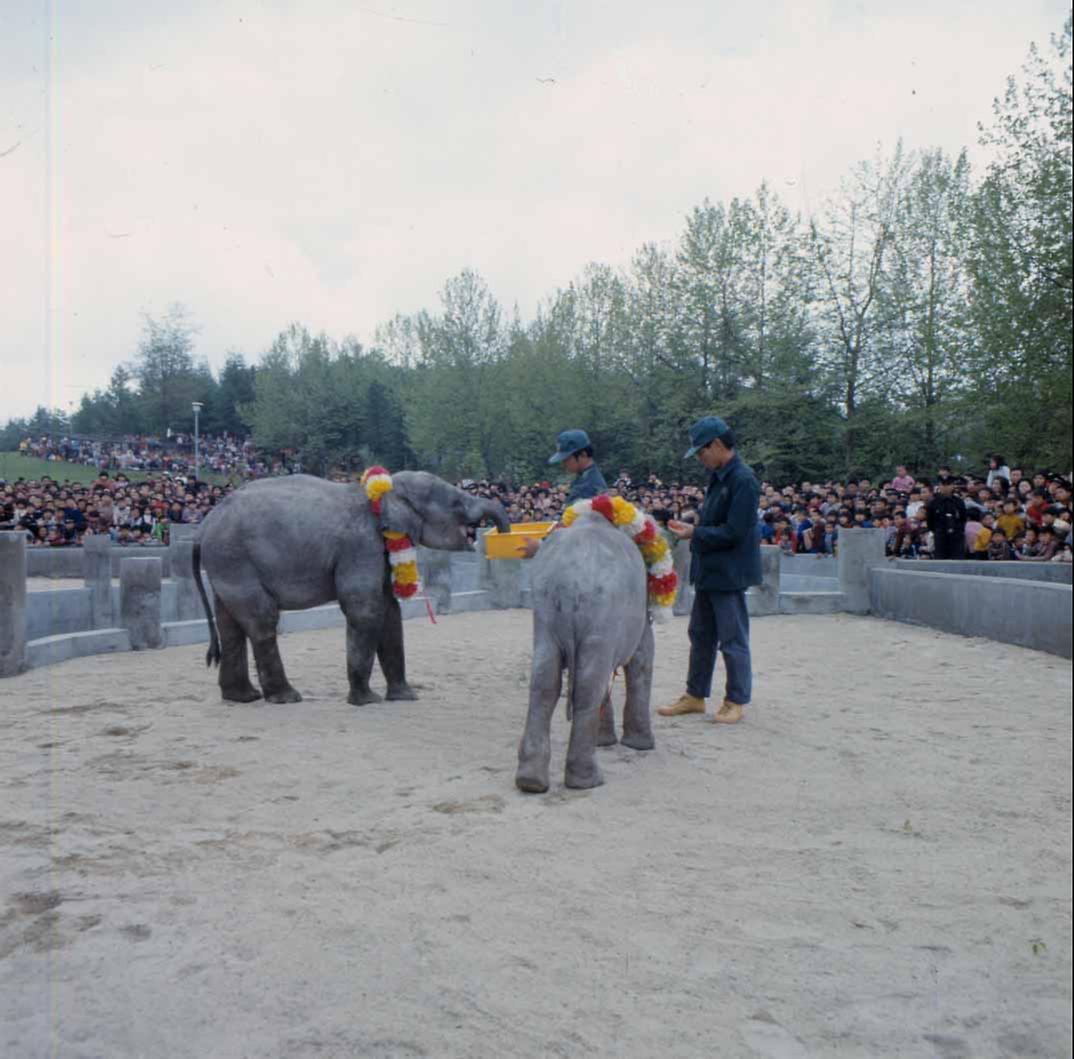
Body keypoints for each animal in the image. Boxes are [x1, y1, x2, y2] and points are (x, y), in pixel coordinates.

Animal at [194, 470, 511, 700]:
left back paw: (243, 697)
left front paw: (405, 697)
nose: (502, 534)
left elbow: (390, 611)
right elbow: (365, 608)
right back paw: (286, 697)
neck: (384, 492)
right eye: (457, 504)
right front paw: (366, 700)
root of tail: (203, 527)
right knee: (262, 620)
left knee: (230, 625)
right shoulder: (361, 545)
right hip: (235, 560)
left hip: (226, 565)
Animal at [513, 506, 652, 790]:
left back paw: (531, 781)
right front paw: (639, 746)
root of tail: (570, 585)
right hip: (602, 613)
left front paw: (606, 742)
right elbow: (641, 659)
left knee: (544, 681)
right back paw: (587, 780)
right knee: (590, 686)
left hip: (545, 614)